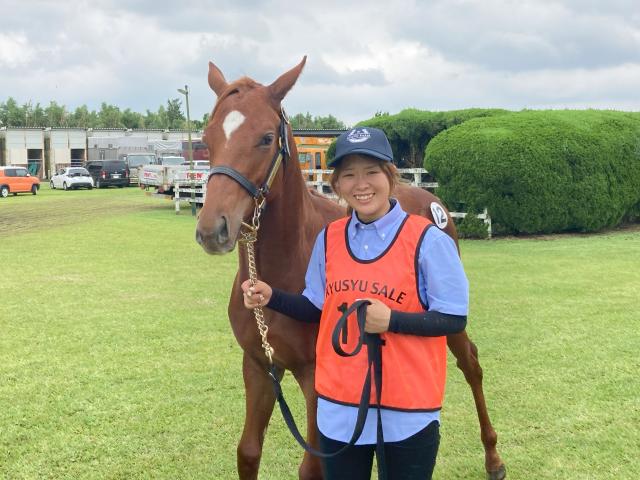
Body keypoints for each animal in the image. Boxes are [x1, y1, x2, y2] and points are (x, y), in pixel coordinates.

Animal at [195, 57, 504, 480]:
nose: (213, 229)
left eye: (265, 138)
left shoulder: (315, 378)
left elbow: (312, 467)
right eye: (207, 138)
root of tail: (429, 198)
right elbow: (248, 452)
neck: (286, 265)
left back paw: (494, 459)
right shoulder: (259, 366)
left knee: (470, 363)